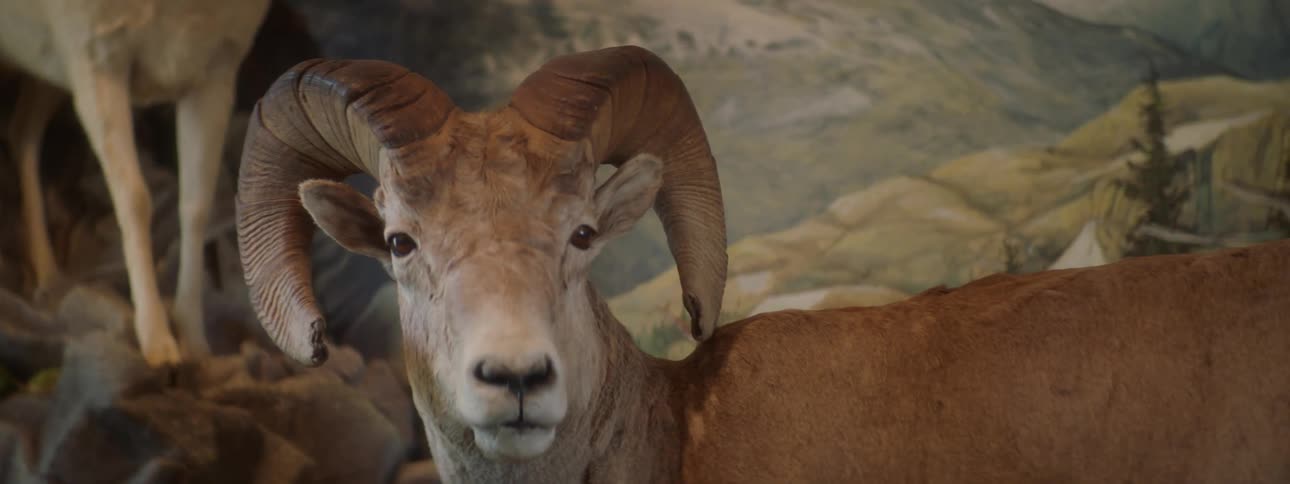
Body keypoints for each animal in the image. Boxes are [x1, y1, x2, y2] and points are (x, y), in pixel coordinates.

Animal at [0, 0, 271, 365]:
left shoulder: (215, 68)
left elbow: (197, 204)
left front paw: (195, 342)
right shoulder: (97, 56)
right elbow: (134, 197)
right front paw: (157, 343)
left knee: (23, 131)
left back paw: (47, 275)